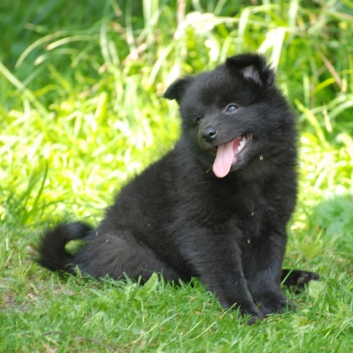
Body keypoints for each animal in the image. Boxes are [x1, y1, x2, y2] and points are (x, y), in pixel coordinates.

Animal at [37, 54, 318, 322]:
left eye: (231, 108)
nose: (207, 134)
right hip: (136, 256)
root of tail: (81, 260)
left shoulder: (271, 225)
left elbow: (265, 271)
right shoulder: (206, 230)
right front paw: (242, 308)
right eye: (198, 119)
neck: (248, 176)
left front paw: (274, 302)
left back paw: (298, 277)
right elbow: (228, 273)